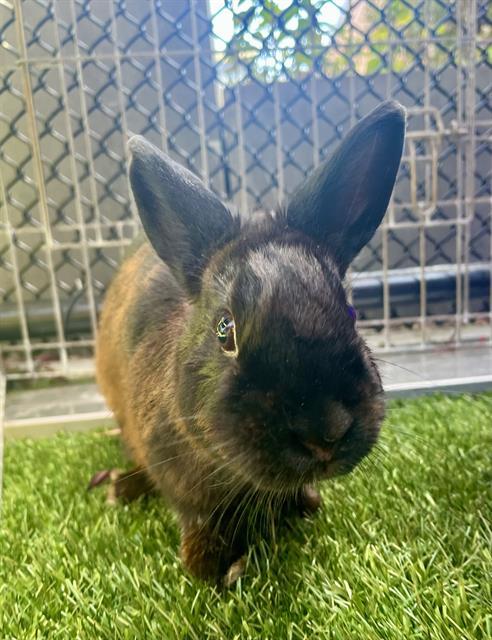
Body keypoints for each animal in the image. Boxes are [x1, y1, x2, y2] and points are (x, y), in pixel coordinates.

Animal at [94, 100, 406, 584]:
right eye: (226, 330)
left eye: (352, 315)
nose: (327, 431)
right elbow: (196, 518)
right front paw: (215, 566)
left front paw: (306, 505)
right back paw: (122, 487)